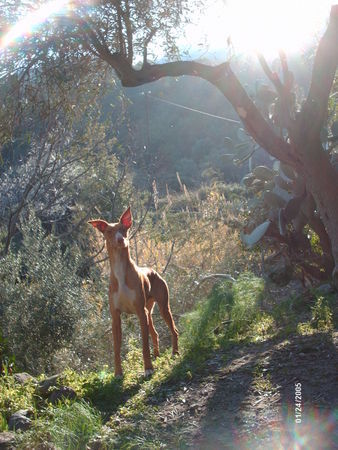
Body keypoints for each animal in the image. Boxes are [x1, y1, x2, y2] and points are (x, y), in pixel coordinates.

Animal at [89, 207, 180, 376]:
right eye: (109, 232)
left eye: (123, 229)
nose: (120, 240)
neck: (120, 272)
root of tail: (153, 271)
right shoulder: (115, 317)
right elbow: (116, 348)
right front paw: (118, 373)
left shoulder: (140, 312)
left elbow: (144, 345)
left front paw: (148, 368)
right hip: (149, 311)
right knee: (155, 334)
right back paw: (157, 356)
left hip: (162, 307)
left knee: (174, 330)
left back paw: (175, 353)